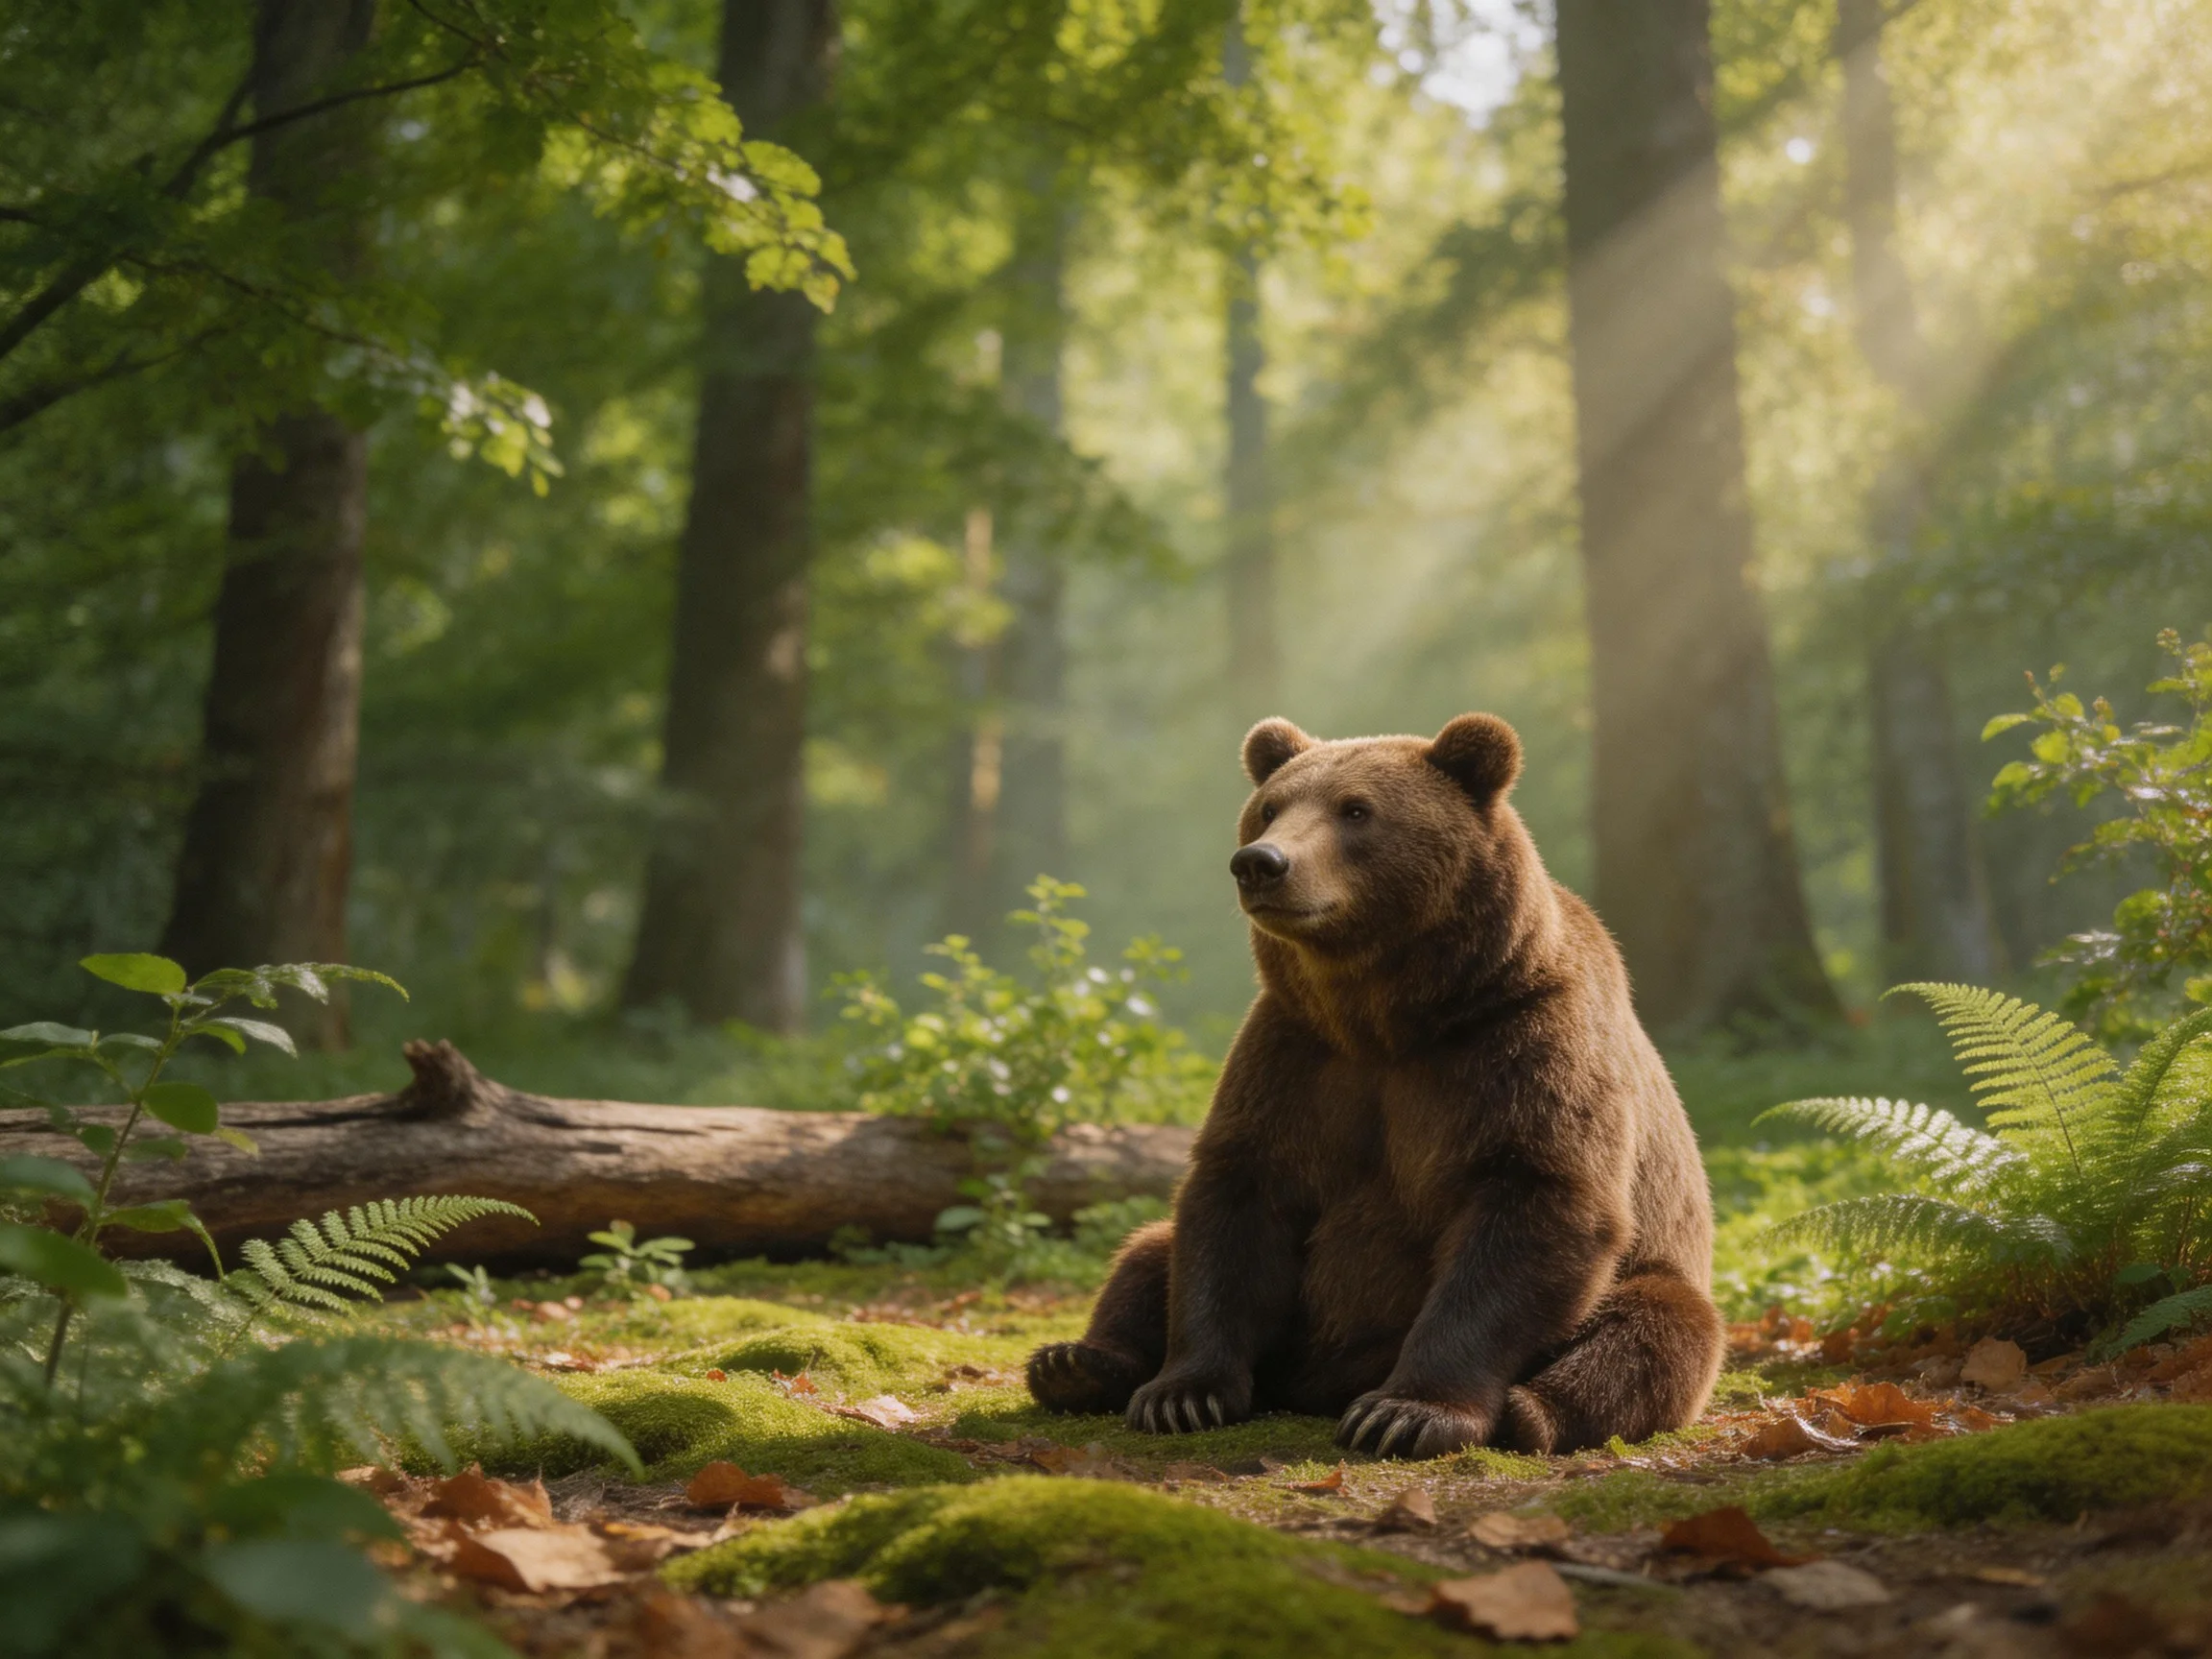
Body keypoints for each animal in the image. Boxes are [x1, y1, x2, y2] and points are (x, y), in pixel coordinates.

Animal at [1025, 712, 1724, 1456]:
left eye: (1355, 810)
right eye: (1269, 808)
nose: (1261, 862)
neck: (1389, 1015)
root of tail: (1307, 1385)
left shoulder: (1524, 1041)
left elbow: (1537, 1198)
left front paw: (1405, 1412)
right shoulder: (1297, 1056)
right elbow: (1235, 1198)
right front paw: (1182, 1395)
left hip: (1650, 1276)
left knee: (1655, 1329)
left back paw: (1531, 1410)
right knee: (1148, 1253)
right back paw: (1076, 1364)